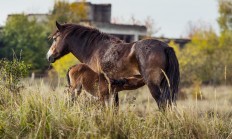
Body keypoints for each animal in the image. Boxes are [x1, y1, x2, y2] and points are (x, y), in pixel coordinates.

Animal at [47, 21, 179, 109]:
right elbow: (115, 107)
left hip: (153, 85)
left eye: (55, 38)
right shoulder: (112, 89)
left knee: (162, 104)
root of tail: (165, 47)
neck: (95, 49)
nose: (49, 56)